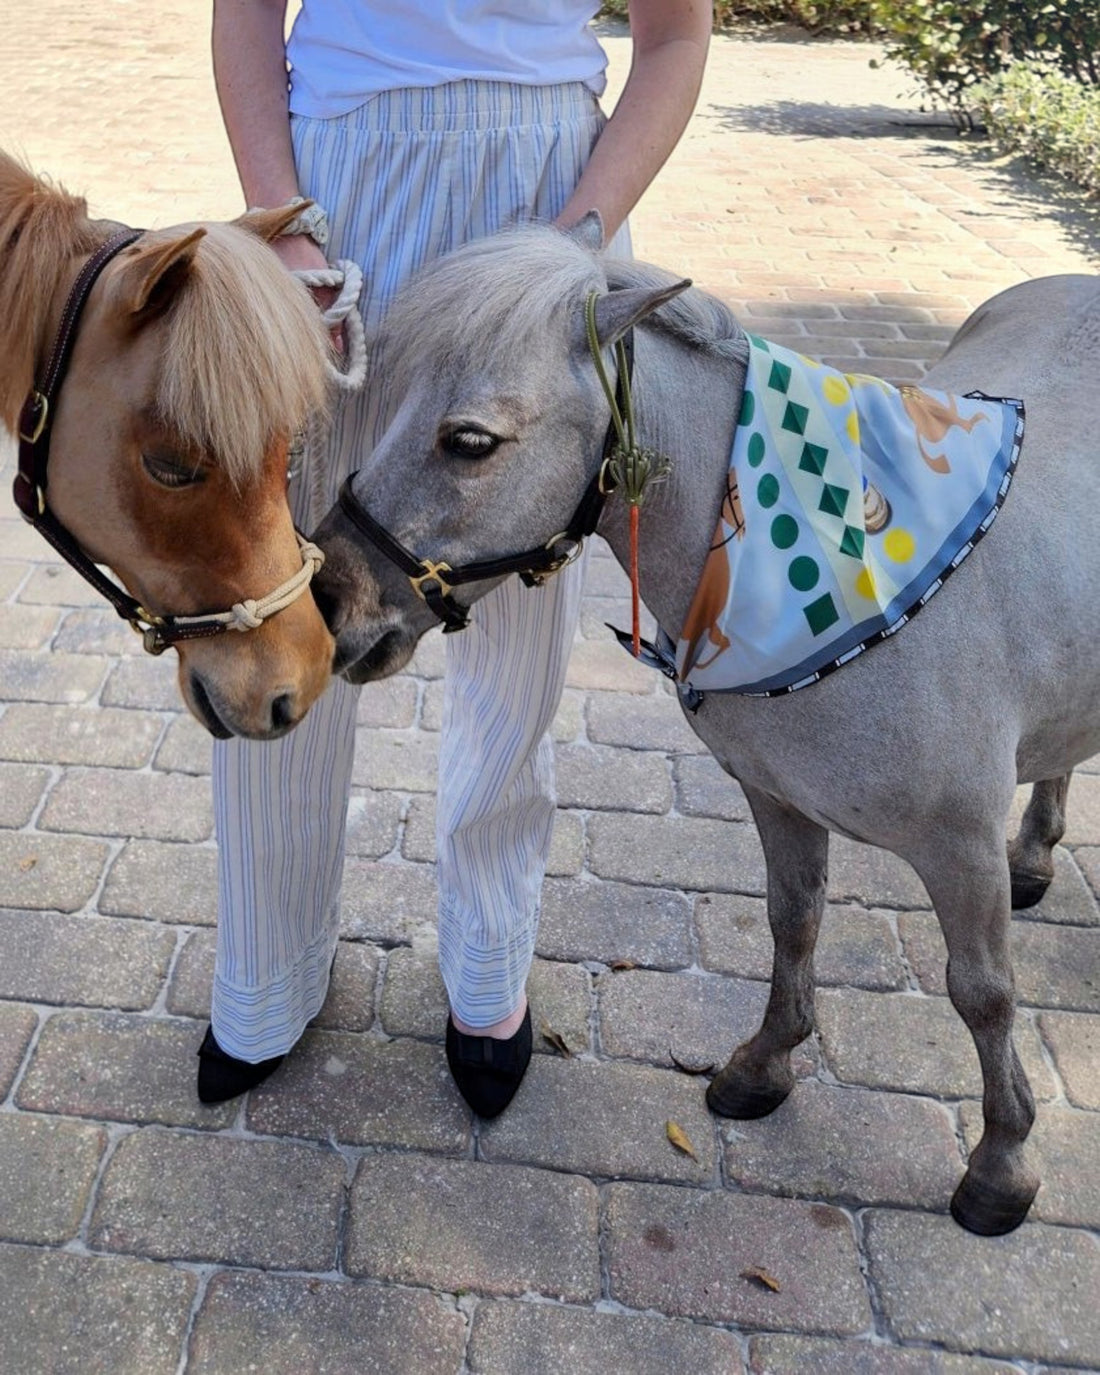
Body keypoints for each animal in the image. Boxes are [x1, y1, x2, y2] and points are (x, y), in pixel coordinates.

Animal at [311, 214, 1100, 1236]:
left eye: (469, 440)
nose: (329, 601)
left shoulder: (959, 844)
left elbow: (984, 995)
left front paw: (1003, 1164)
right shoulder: (778, 799)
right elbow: (793, 923)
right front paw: (764, 1066)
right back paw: (1037, 854)